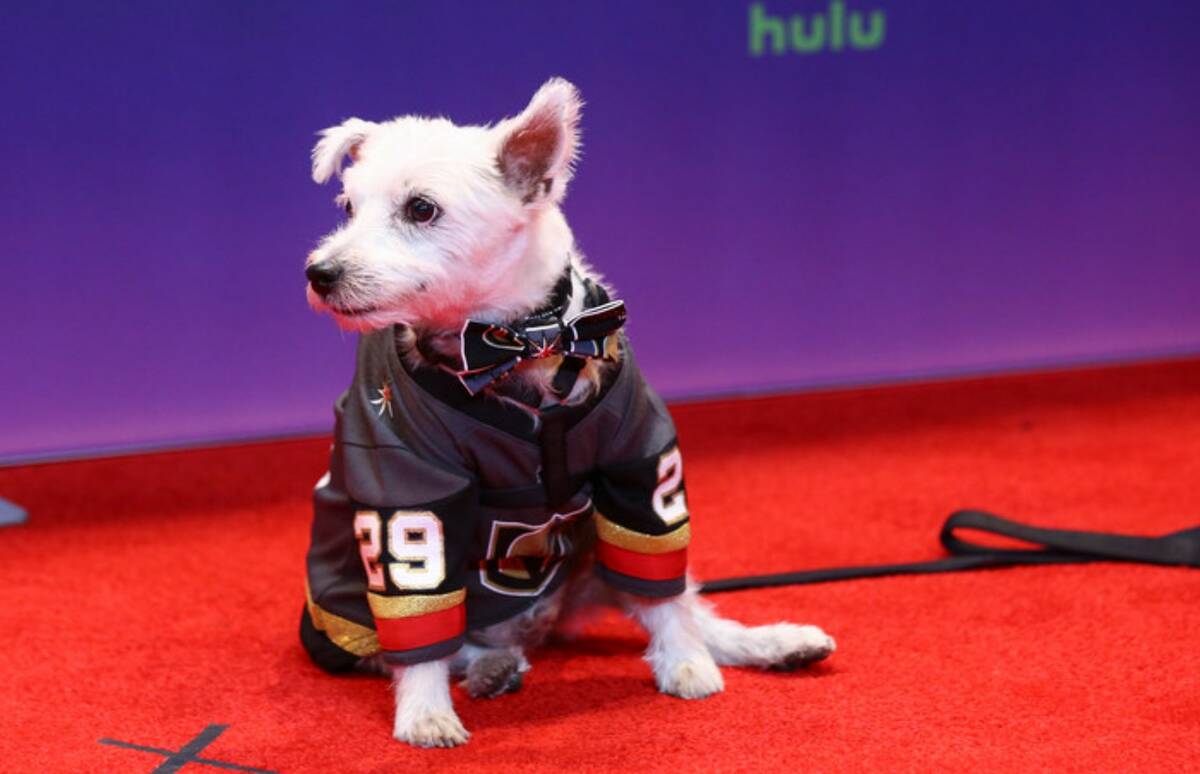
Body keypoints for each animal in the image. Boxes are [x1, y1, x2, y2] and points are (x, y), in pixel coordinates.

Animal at [300, 76, 835, 744]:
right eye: (348, 206)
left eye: (421, 209)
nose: (320, 273)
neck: (515, 342)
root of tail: (541, 622)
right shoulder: (407, 492)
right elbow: (421, 618)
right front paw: (425, 712)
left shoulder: (640, 468)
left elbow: (663, 593)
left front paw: (686, 662)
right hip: (347, 613)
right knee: (441, 644)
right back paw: (493, 666)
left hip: (594, 556)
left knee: (678, 598)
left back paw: (771, 642)